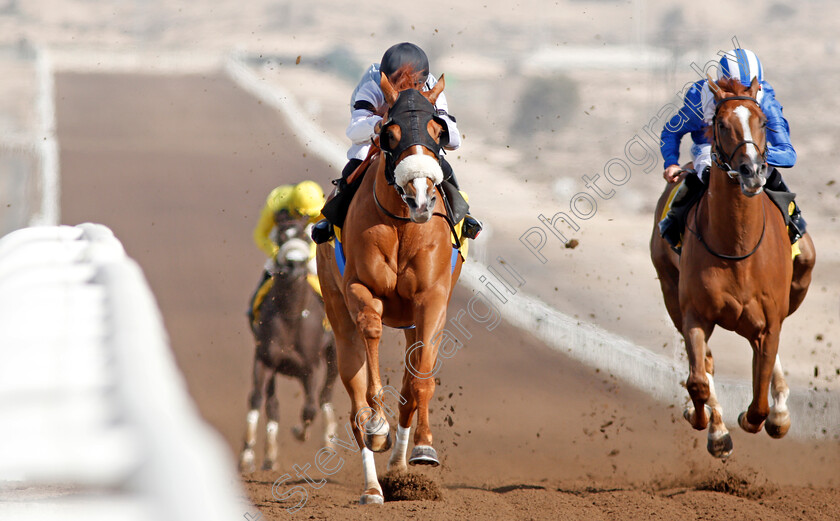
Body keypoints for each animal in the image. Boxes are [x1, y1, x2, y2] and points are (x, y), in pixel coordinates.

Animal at [316, 67, 462, 502]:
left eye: (437, 129)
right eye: (390, 133)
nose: (420, 197)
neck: (402, 225)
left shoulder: (432, 301)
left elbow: (420, 384)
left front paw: (423, 451)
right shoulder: (360, 291)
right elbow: (372, 345)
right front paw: (377, 425)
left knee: (408, 393)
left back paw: (398, 469)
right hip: (337, 315)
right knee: (354, 407)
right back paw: (373, 485)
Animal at [648, 75, 812, 458]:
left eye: (763, 122)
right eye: (721, 124)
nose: (751, 172)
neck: (737, 247)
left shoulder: (769, 320)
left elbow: (759, 402)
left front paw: (768, 415)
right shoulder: (694, 313)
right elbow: (698, 380)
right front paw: (706, 422)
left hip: (800, 277)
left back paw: (778, 411)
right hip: (669, 289)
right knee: (705, 365)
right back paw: (716, 427)